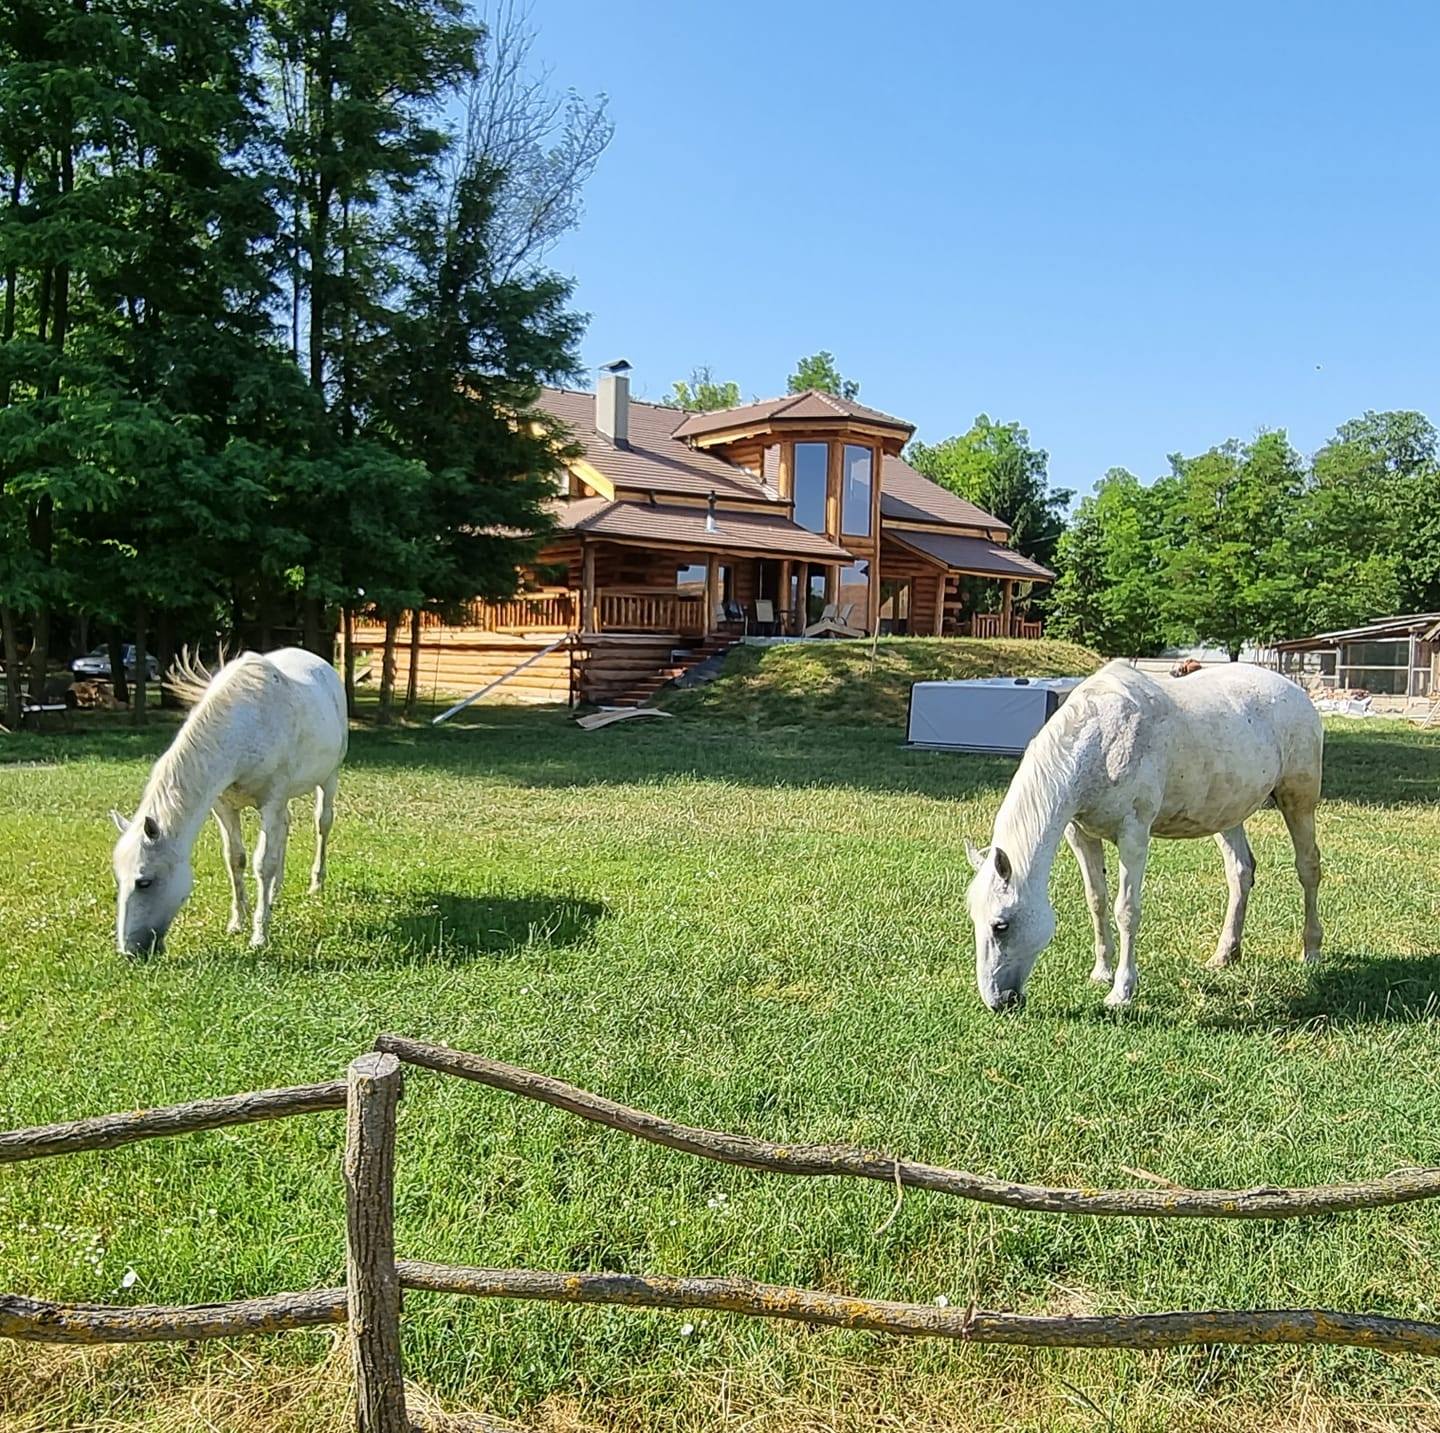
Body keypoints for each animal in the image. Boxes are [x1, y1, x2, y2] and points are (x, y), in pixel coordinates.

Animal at [110, 656, 347, 956]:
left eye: (144, 882)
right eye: (119, 878)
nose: (130, 951)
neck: (245, 727)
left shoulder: (271, 801)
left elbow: (263, 864)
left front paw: (259, 936)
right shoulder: (224, 807)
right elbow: (236, 859)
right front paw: (238, 921)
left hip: (329, 779)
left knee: (322, 824)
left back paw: (316, 884)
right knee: (285, 826)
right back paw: (275, 893)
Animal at [961, 659, 1319, 1008]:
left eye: (1001, 925)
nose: (998, 1000)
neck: (1101, 742)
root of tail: (1296, 691)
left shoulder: (1133, 835)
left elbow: (1127, 910)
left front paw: (1121, 991)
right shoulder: (1080, 835)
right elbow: (1097, 900)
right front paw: (1101, 973)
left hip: (1298, 802)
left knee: (1308, 869)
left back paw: (1311, 950)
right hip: (1227, 814)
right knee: (1240, 873)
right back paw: (1224, 954)